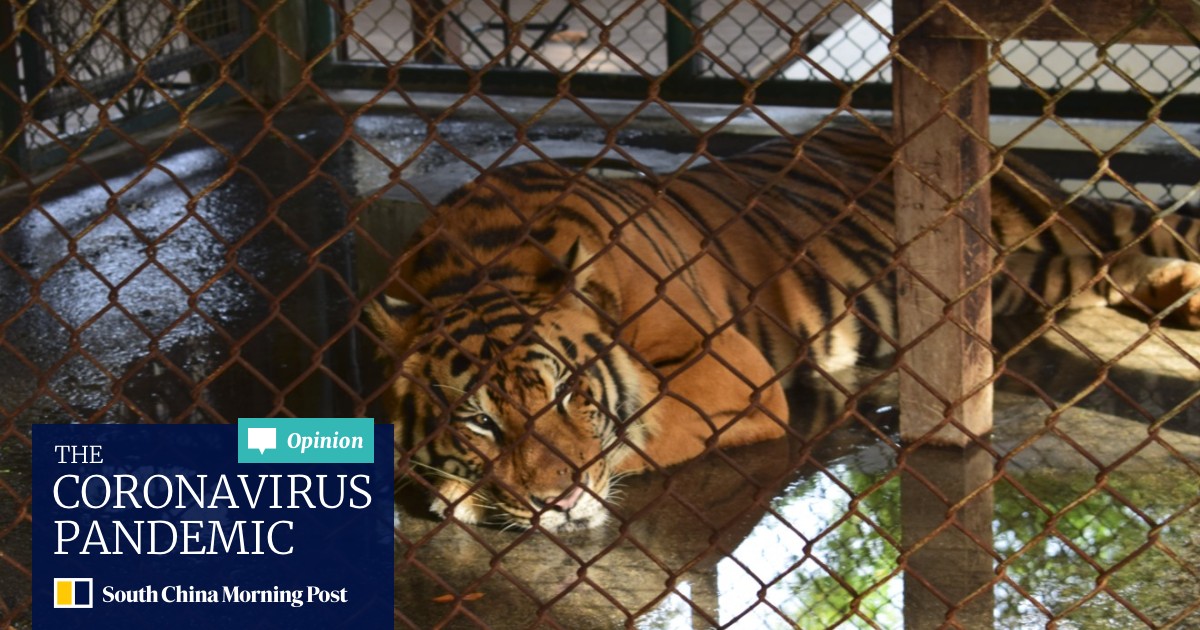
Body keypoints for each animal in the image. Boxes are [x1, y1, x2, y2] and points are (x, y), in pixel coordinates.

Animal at [368, 121, 1200, 532]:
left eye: (569, 392)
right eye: (480, 419)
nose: (560, 503)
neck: (481, 261)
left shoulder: (729, 372)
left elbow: (636, 431)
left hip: (1038, 238)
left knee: (1129, 234)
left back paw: (1179, 291)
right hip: (1025, 275)